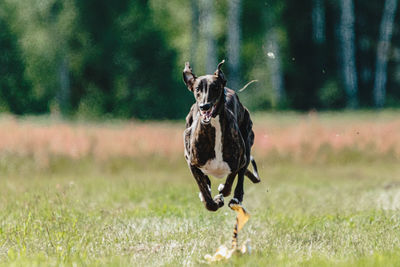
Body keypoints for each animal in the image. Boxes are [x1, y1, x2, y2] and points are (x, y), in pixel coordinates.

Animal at [184, 60, 260, 211]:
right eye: (197, 89)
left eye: (215, 87)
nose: (204, 106)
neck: (213, 125)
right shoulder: (191, 162)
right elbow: (206, 196)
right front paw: (213, 200)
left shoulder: (238, 161)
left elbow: (229, 184)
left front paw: (221, 195)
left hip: (247, 145)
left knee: (240, 178)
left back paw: (236, 198)